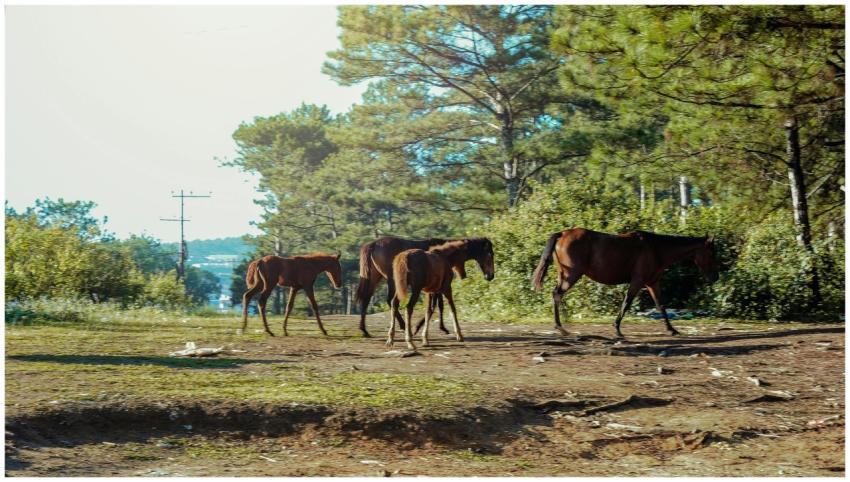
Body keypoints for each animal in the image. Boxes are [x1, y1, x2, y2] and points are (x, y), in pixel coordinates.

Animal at [531, 228, 719, 338]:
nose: (715, 277)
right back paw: (561, 327)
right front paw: (617, 329)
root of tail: (562, 234)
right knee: (557, 294)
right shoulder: (638, 281)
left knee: (557, 295)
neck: (656, 249)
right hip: (572, 274)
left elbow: (661, 306)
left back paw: (563, 323)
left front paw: (672, 329)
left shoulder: (653, 283)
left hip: (564, 275)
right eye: (711, 253)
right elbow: (626, 303)